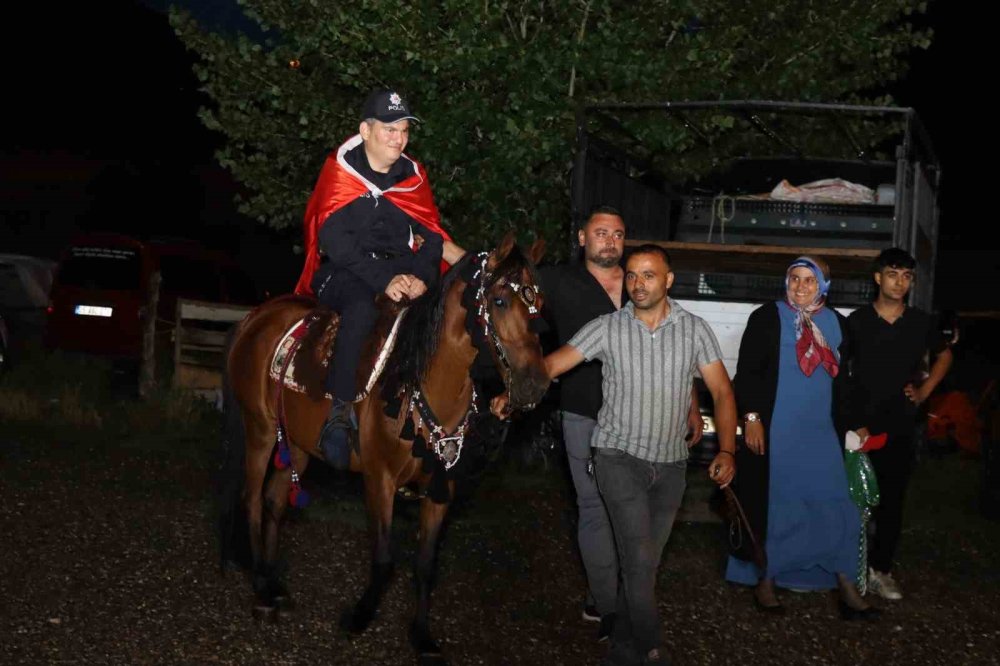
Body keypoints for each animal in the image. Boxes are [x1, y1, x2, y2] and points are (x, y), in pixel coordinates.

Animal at [219, 233, 552, 660]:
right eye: (498, 301)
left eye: (538, 304)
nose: (535, 385)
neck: (421, 382)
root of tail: (257, 316)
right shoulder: (380, 480)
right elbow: (383, 558)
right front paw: (358, 616)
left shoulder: (441, 489)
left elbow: (425, 565)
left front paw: (422, 636)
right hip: (260, 430)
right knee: (252, 499)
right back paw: (261, 589)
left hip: (297, 444)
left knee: (275, 502)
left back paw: (276, 586)